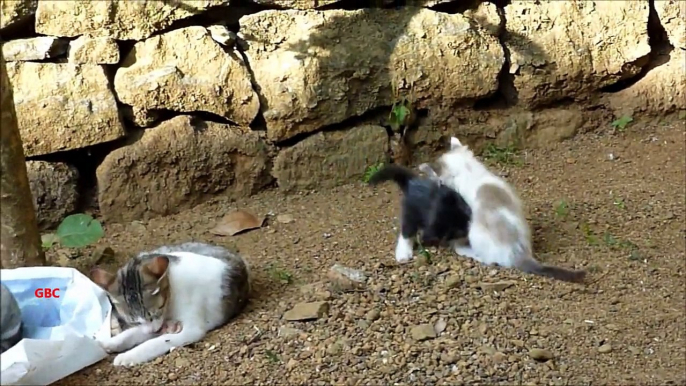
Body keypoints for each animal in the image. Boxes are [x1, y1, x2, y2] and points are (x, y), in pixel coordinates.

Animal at [91, 243, 251, 366]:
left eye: (155, 313)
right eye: (134, 321)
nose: (153, 330)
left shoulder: (191, 329)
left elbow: (156, 342)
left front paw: (129, 356)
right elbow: (132, 333)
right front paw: (110, 343)